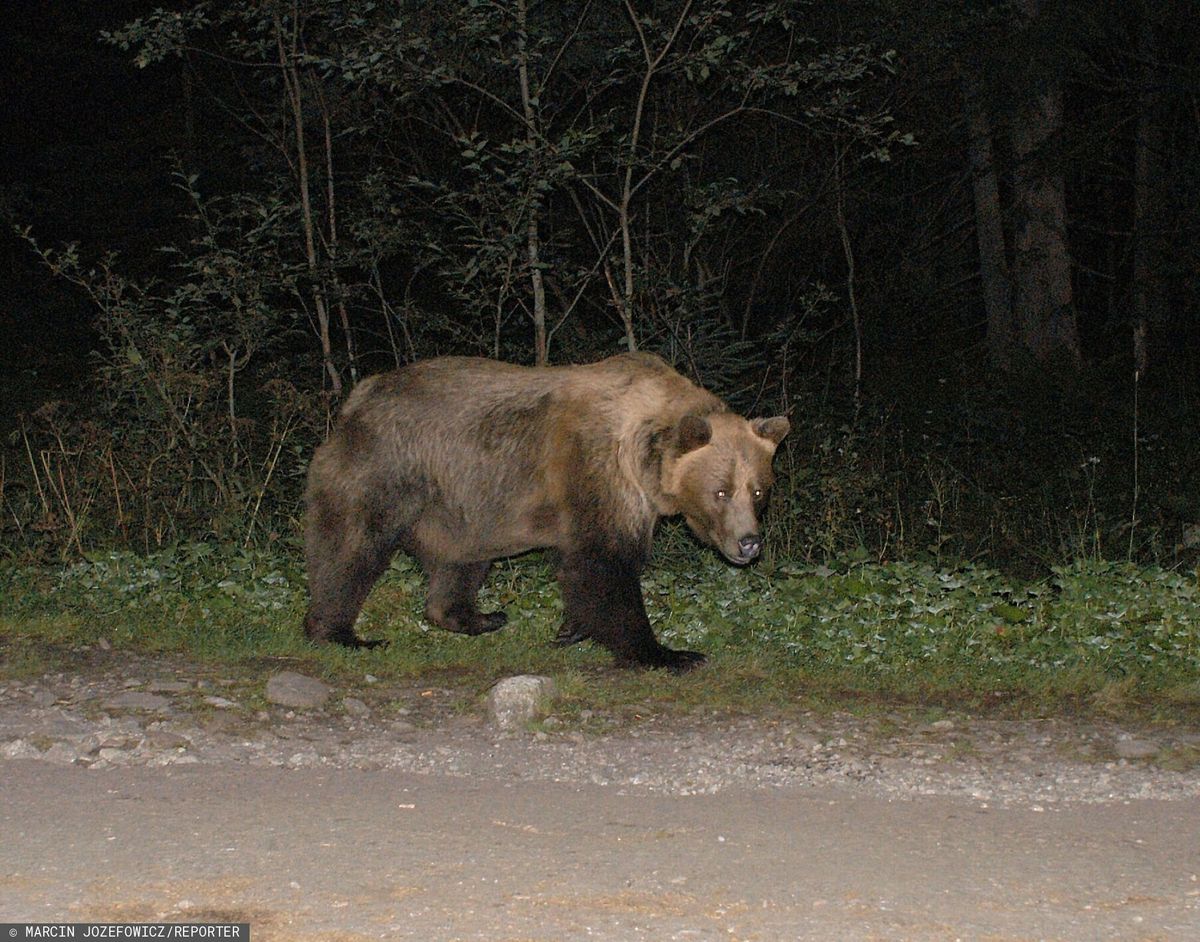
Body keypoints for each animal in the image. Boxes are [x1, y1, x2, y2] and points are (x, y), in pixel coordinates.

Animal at [302, 350, 787, 667]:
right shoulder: (597, 472)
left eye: (758, 491)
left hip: (465, 504)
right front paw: (665, 652)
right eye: (720, 491)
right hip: (387, 468)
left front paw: (570, 627)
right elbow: (603, 563)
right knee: (350, 548)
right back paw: (341, 633)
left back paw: (479, 616)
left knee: (461, 560)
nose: (748, 543)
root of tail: (359, 397)